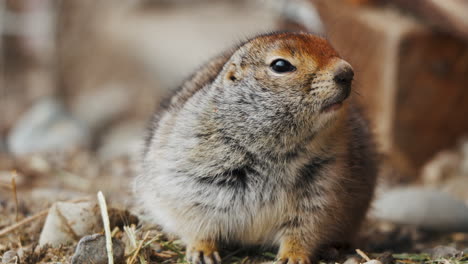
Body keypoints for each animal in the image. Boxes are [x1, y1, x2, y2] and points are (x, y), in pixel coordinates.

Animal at [137, 31, 378, 264]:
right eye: (280, 65)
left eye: (331, 48)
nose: (347, 72)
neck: (275, 150)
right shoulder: (191, 181)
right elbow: (196, 223)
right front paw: (202, 252)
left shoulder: (324, 187)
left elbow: (305, 229)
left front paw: (293, 256)